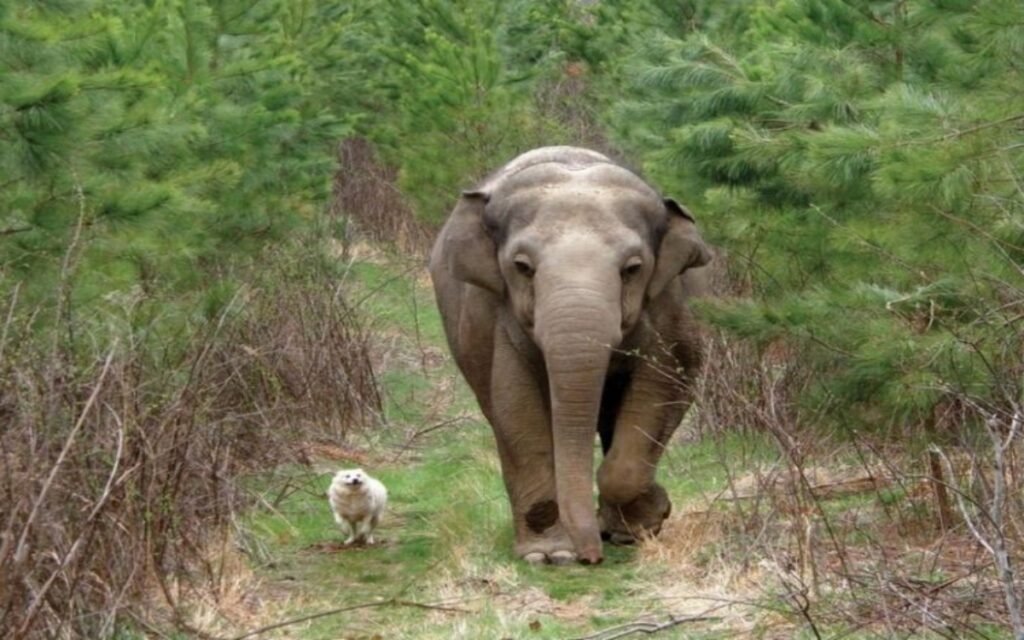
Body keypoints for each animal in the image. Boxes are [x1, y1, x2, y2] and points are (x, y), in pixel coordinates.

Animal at [425, 146, 712, 565]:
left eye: (633, 268)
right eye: (522, 266)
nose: (591, 557)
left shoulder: (671, 306)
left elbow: (664, 383)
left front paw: (648, 521)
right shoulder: (497, 317)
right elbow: (517, 408)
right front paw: (548, 556)